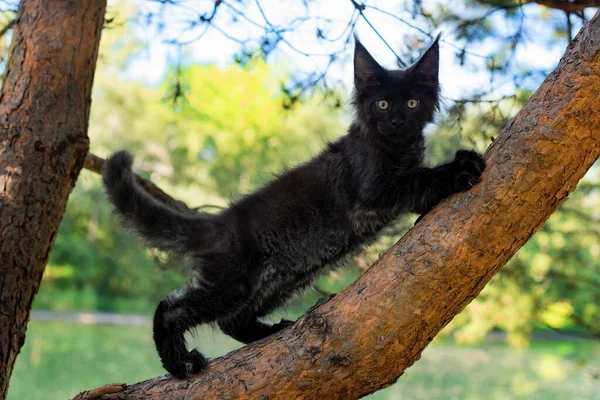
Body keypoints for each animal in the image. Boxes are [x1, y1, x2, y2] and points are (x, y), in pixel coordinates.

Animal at [103, 35, 486, 378]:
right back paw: (179, 364)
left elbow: (417, 181)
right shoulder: (377, 187)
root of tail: (218, 222)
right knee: (170, 309)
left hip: (282, 278)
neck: (395, 146)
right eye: (381, 104)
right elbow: (418, 180)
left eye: (410, 104)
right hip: (233, 281)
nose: (396, 121)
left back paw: (268, 332)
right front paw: (458, 169)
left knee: (231, 319)